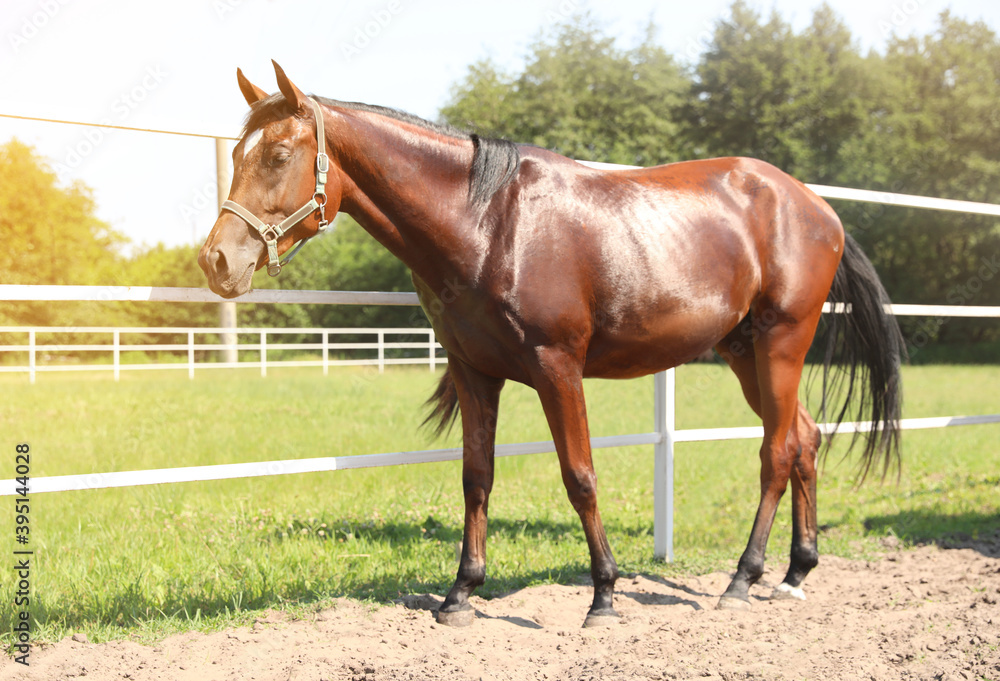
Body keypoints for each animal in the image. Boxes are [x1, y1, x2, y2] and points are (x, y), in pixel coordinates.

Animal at [199, 61, 905, 627]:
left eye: (279, 155)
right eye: (235, 156)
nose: (216, 260)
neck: (489, 224)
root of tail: (816, 206)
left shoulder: (556, 368)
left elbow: (580, 477)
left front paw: (604, 597)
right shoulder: (475, 372)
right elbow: (476, 477)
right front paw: (460, 595)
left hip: (782, 343)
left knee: (777, 451)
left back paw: (742, 578)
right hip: (743, 353)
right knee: (804, 439)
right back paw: (794, 573)